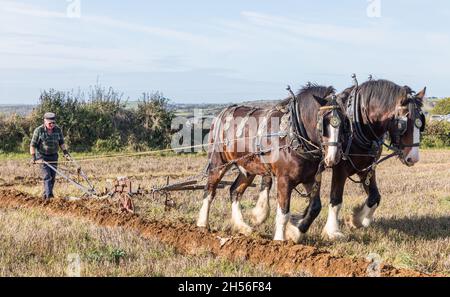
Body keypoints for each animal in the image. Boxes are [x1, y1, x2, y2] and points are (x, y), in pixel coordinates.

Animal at [195, 83, 346, 240]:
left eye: (344, 122)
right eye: (323, 123)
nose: (333, 157)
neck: (294, 133)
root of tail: (222, 113)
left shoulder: (310, 178)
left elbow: (315, 207)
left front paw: (295, 232)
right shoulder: (284, 179)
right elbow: (283, 212)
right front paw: (280, 239)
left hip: (248, 169)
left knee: (235, 191)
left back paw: (242, 227)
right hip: (218, 163)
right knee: (210, 190)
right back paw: (203, 224)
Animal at [322, 77, 428, 239]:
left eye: (421, 123)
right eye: (402, 124)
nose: (413, 158)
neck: (356, 125)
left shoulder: (366, 168)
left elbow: (375, 197)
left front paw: (357, 220)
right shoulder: (339, 168)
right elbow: (336, 199)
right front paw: (332, 231)